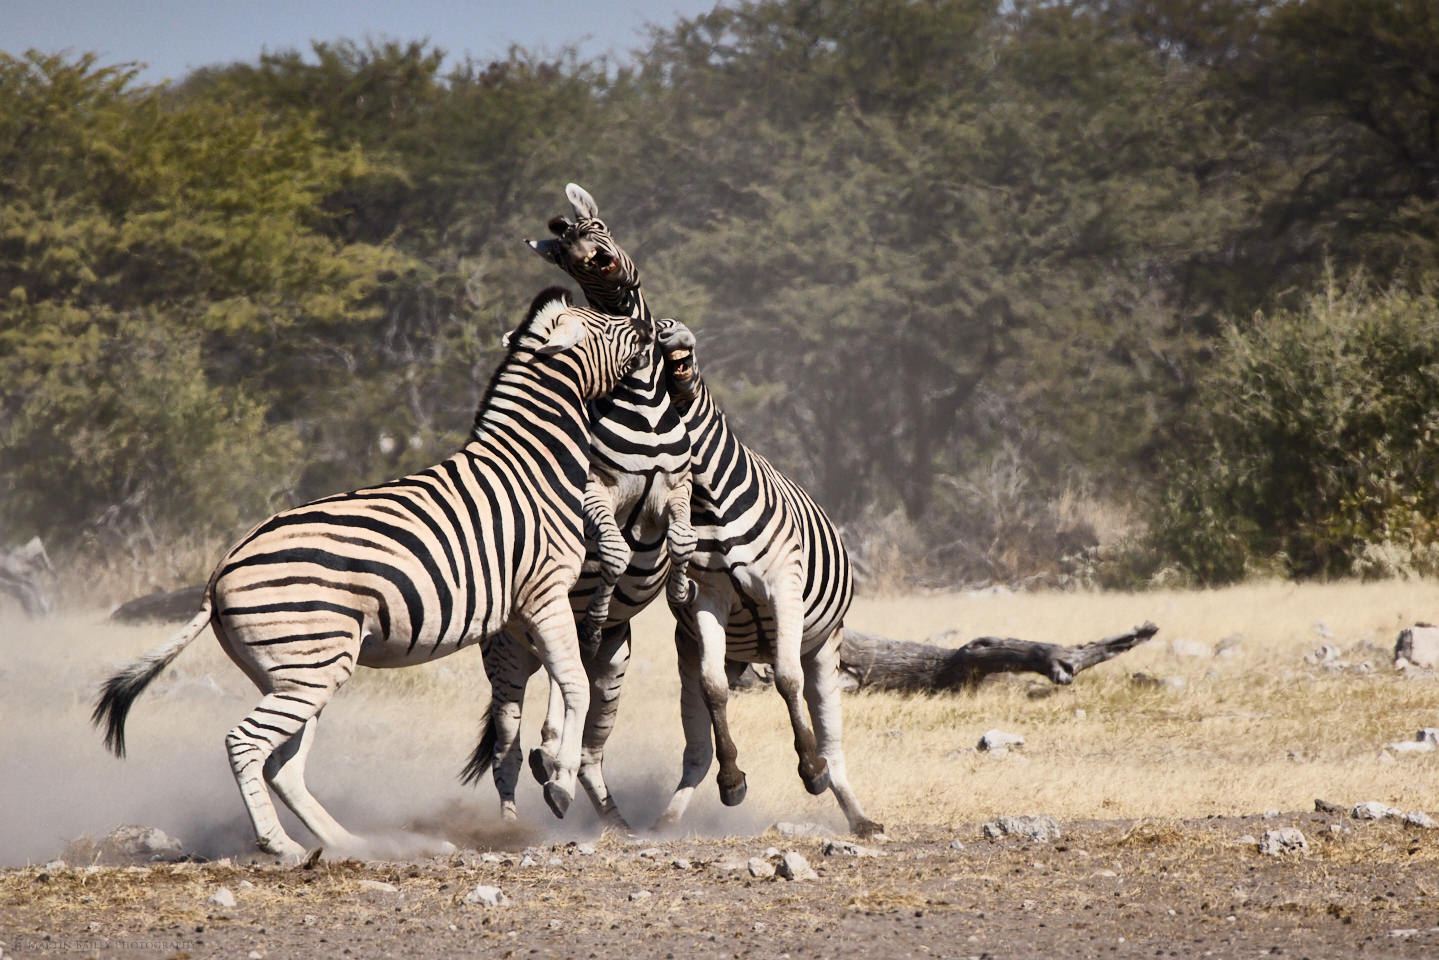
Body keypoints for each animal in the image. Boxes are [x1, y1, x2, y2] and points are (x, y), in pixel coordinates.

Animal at [91, 289, 653, 857]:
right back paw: (282, 847)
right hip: (309, 669)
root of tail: (219, 572)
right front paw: (559, 782)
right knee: (246, 744)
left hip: (295, 673)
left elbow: (558, 683)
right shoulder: (545, 591)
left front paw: (551, 757)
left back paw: (350, 843)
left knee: (283, 766)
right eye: (604, 326)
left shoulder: (522, 610)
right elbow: (575, 681)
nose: (648, 329)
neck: (533, 463)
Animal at [457, 184, 687, 829]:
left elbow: (676, 540)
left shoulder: (674, 484)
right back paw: (516, 812)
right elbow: (611, 551)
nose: (598, 263)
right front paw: (605, 593)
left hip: (613, 661)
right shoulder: (593, 489)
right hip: (508, 651)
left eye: (599, 229)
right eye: (564, 255)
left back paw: (606, 814)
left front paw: (680, 586)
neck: (645, 402)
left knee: (587, 736)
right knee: (510, 743)